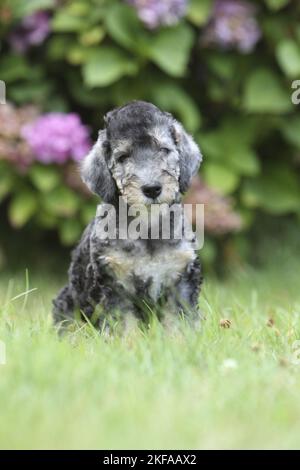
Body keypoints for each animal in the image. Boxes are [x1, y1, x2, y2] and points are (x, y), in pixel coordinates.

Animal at [54, 100, 204, 330]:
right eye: (123, 157)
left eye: (164, 149)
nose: (152, 189)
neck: (147, 227)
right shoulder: (113, 285)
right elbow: (125, 326)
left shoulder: (181, 279)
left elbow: (178, 323)